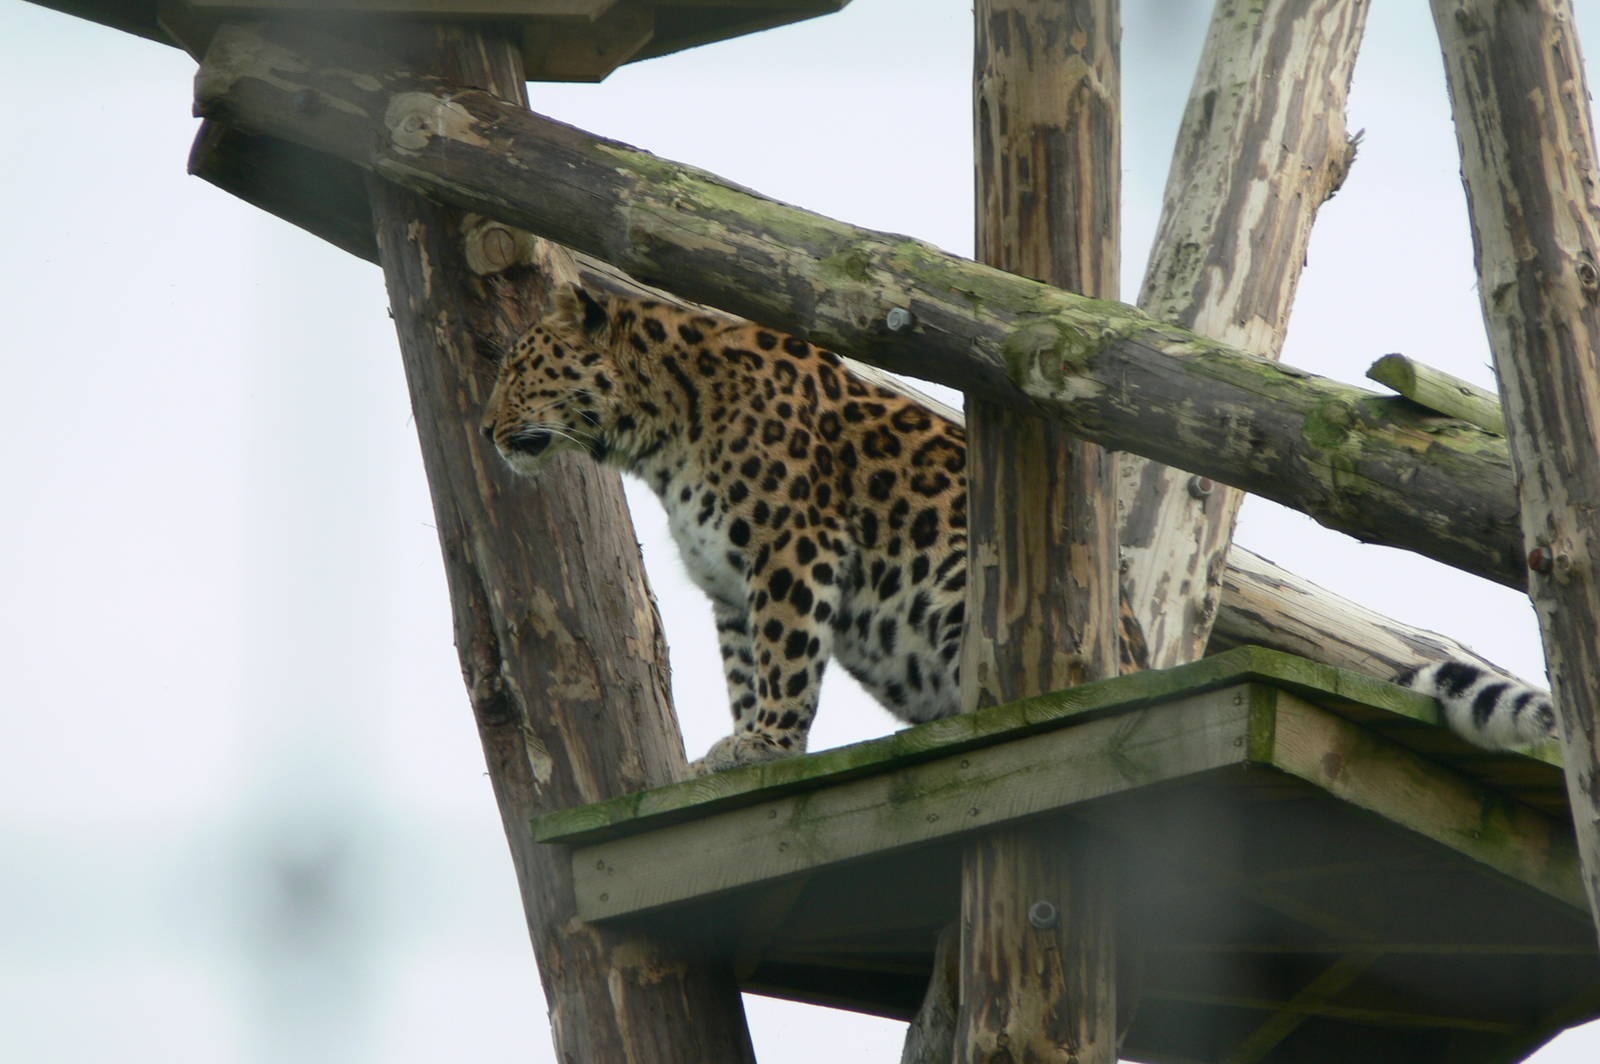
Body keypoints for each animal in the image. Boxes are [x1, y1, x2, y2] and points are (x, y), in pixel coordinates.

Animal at [481, 285, 1557, 770]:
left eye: (521, 368)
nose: (488, 431)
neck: (655, 429)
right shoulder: (732, 587)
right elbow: (751, 666)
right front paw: (743, 743)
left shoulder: (794, 549)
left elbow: (787, 664)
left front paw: (764, 746)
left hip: (963, 586)